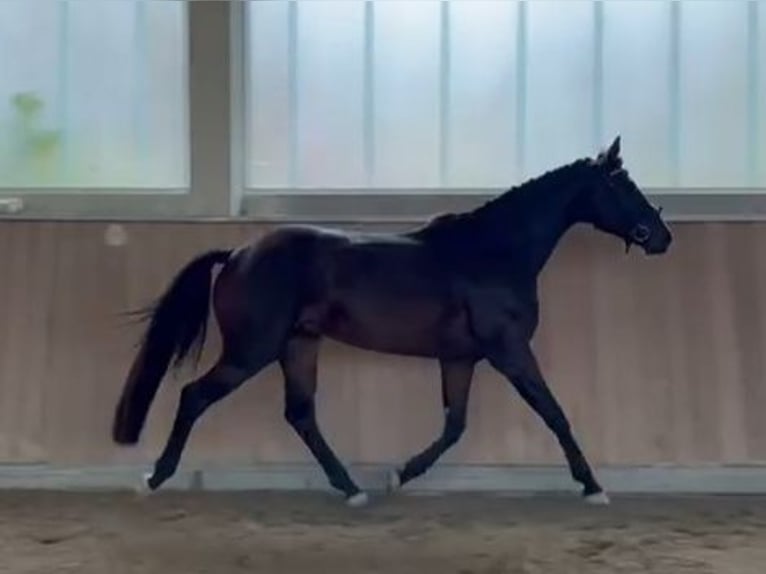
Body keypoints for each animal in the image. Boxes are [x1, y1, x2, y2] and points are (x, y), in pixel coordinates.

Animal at [112, 138, 672, 508]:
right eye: (624, 185)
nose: (661, 237)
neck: (493, 253)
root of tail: (237, 254)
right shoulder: (509, 351)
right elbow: (554, 413)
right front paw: (593, 486)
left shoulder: (460, 358)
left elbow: (454, 425)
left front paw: (399, 475)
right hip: (253, 349)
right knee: (196, 397)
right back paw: (154, 478)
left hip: (298, 345)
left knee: (300, 414)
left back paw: (352, 489)